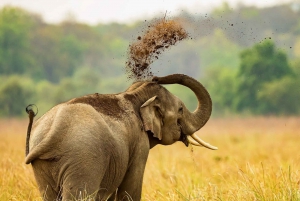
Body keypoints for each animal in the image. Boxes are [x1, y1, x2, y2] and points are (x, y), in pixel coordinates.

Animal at [24, 74, 217, 201]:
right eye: (181, 110)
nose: (156, 77)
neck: (134, 95)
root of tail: (55, 129)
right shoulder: (139, 144)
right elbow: (130, 188)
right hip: (83, 158)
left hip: (43, 164)